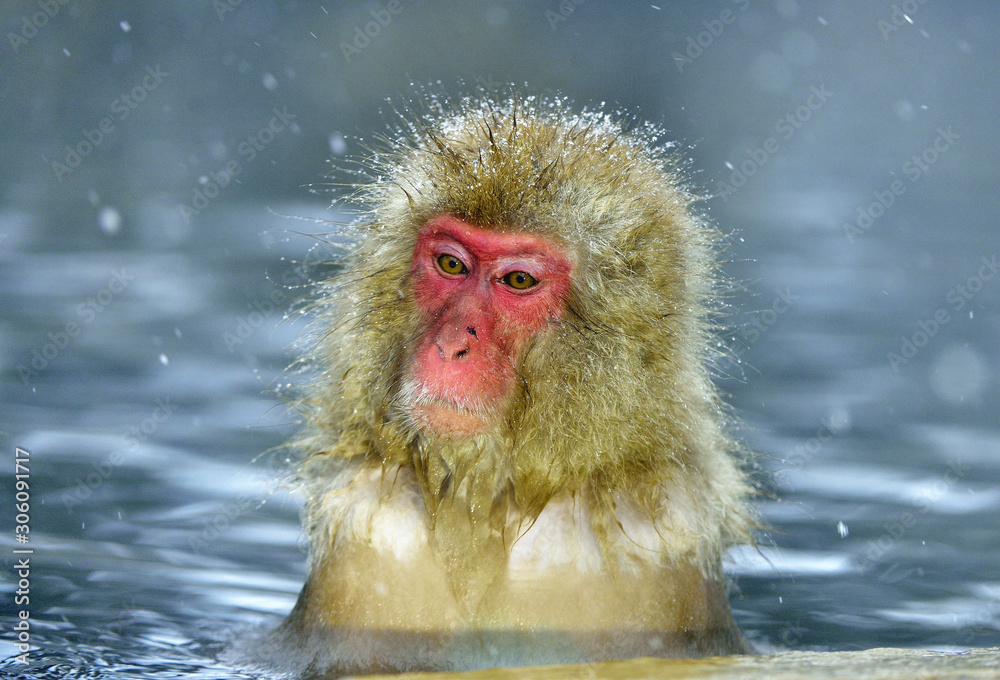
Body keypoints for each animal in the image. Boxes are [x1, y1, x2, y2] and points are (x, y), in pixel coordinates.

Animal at [271, 93, 755, 675]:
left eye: (518, 280)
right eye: (451, 264)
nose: (452, 344)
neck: (493, 495)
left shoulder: (657, 552)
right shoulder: (371, 530)